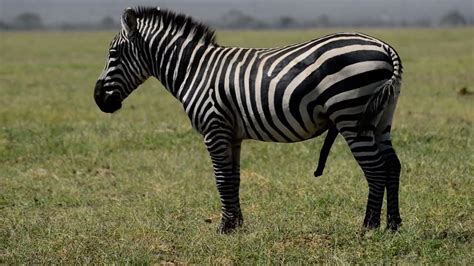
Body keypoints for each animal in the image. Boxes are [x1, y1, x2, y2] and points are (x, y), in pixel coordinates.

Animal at [94, 7, 402, 234]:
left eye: (113, 54)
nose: (98, 99)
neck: (194, 70)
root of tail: (384, 46)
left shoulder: (214, 128)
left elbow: (221, 178)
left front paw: (223, 227)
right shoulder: (232, 134)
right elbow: (234, 178)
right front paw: (236, 225)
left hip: (351, 115)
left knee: (375, 169)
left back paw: (368, 228)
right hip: (381, 118)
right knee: (392, 165)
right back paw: (393, 225)